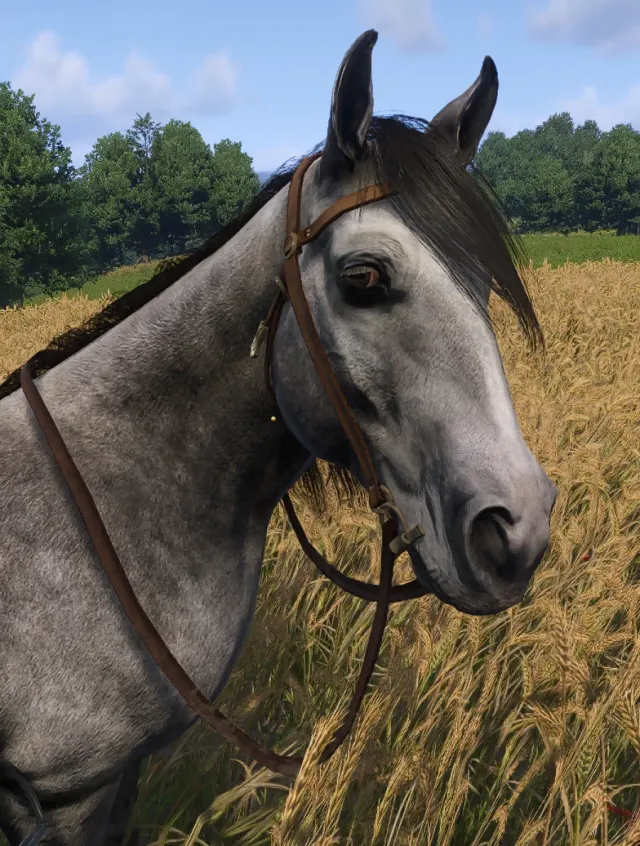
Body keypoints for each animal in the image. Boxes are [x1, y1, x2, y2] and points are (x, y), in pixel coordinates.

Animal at [0, 29, 556, 845]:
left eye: (481, 282)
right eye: (363, 277)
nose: (516, 532)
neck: (104, 505)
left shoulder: (116, 783)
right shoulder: (67, 794)